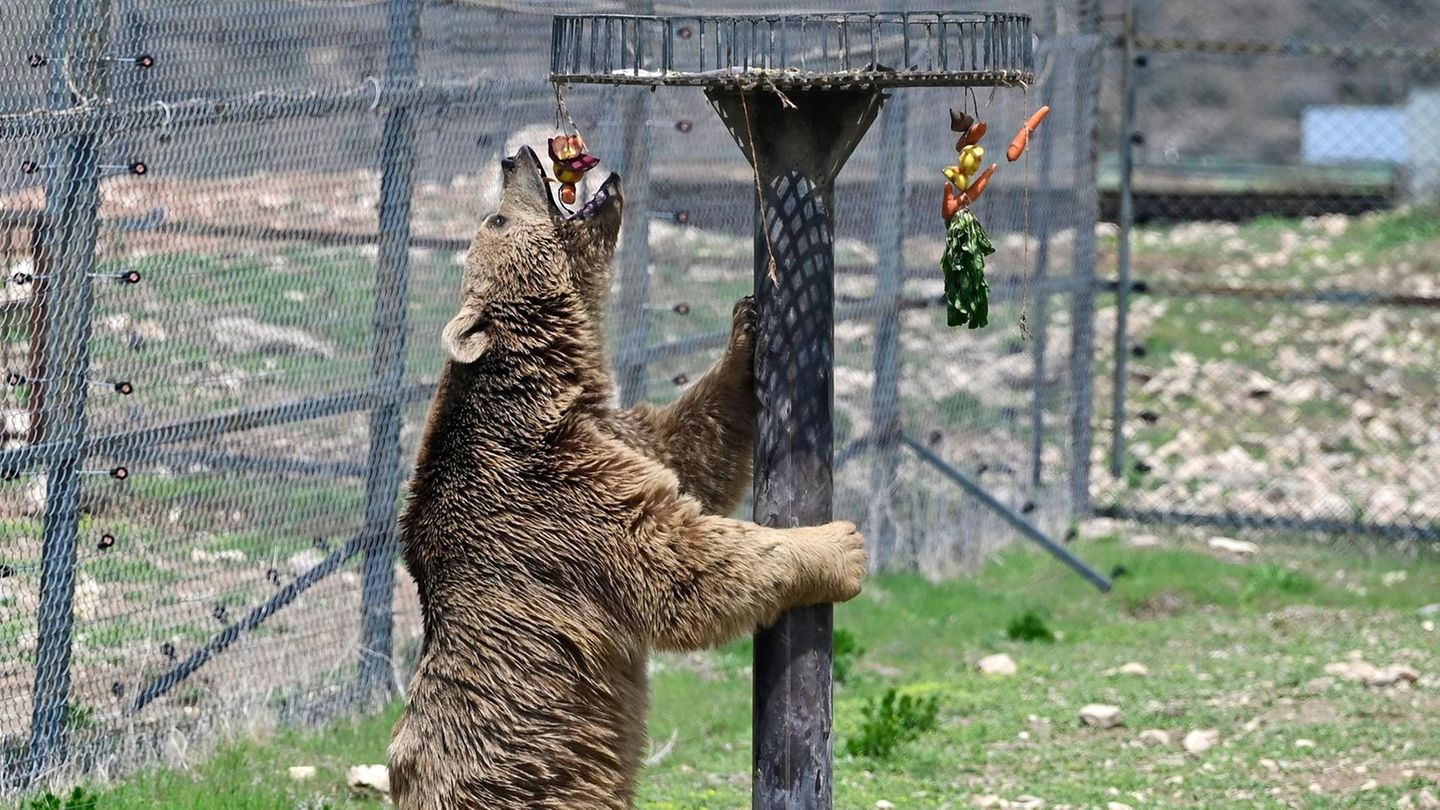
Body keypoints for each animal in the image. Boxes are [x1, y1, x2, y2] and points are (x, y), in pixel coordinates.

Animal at [387, 145, 868, 810]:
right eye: (496, 220)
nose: (515, 156)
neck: (550, 389)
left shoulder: (613, 434)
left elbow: (689, 449)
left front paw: (747, 328)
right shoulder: (550, 495)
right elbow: (675, 560)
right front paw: (839, 546)